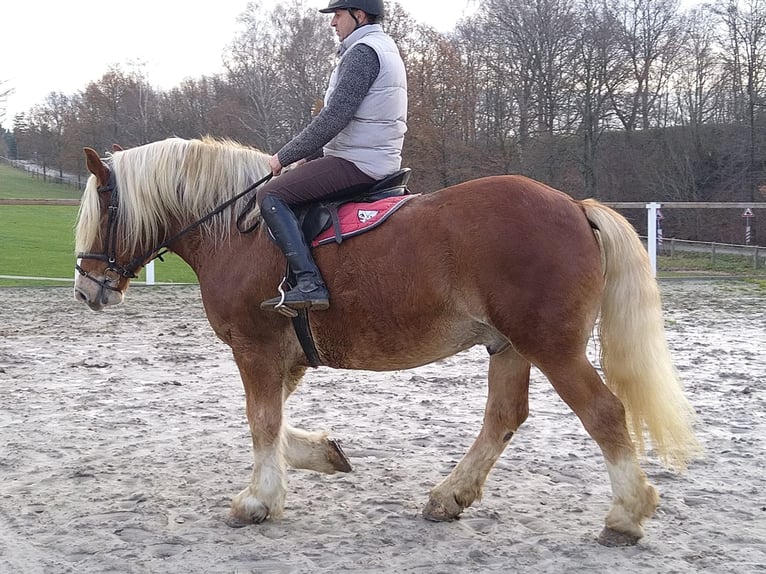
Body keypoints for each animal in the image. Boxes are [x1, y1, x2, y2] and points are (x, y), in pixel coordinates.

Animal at [73, 137, 704, 548]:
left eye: (104, 210)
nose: (86, 287)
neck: (238, 229)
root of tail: (574, 206)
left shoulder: (255, 348)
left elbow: (261, 421)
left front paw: (258, 501)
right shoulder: (288, 355)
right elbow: (273, 421)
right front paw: (321, 454)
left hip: (551, 347)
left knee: (603, 413)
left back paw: (625, 515)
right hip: (509, 346)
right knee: (504, 416)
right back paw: (450, 496)